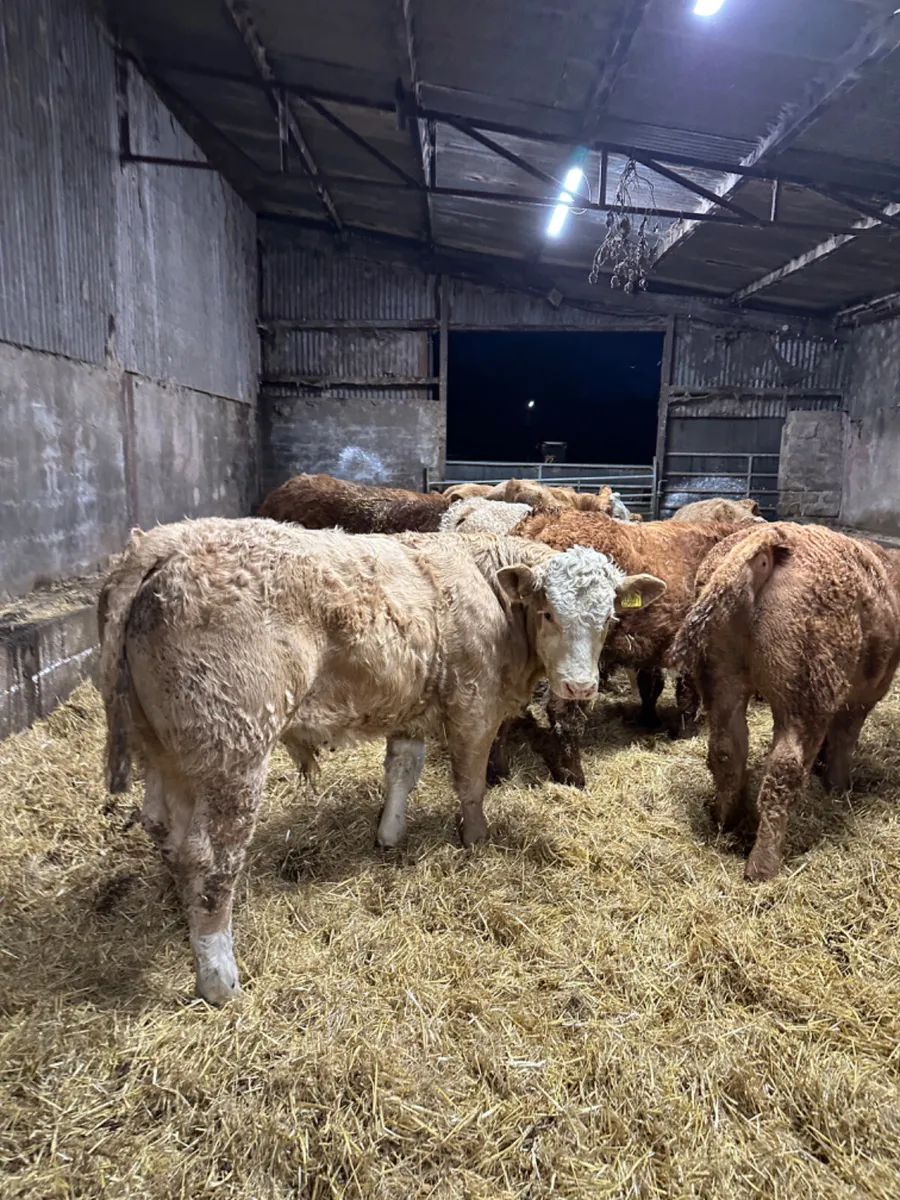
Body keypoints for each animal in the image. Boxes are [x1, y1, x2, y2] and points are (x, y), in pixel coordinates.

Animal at [98, 517, 665, 1003]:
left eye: (609, 618)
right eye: (548, 612)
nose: (580, 686)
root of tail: (164, 545)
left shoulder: (412, 707)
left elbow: (402, 772)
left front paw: (390, 834)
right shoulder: (474, 706)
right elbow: (471, 782)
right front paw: (475, 838)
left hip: (163, 747)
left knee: (165, 830)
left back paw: (183, 913)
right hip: (232, 746)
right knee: (212, 857)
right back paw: (218, 976)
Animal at [671, 523, 900, 881]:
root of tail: (768, 543)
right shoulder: (867, 691)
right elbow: (845, 738)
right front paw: (838, 787)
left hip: (720, 675)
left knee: (726, 749)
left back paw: (727, 821)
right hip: (805, 690)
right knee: (784, 768)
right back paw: (762, 866)